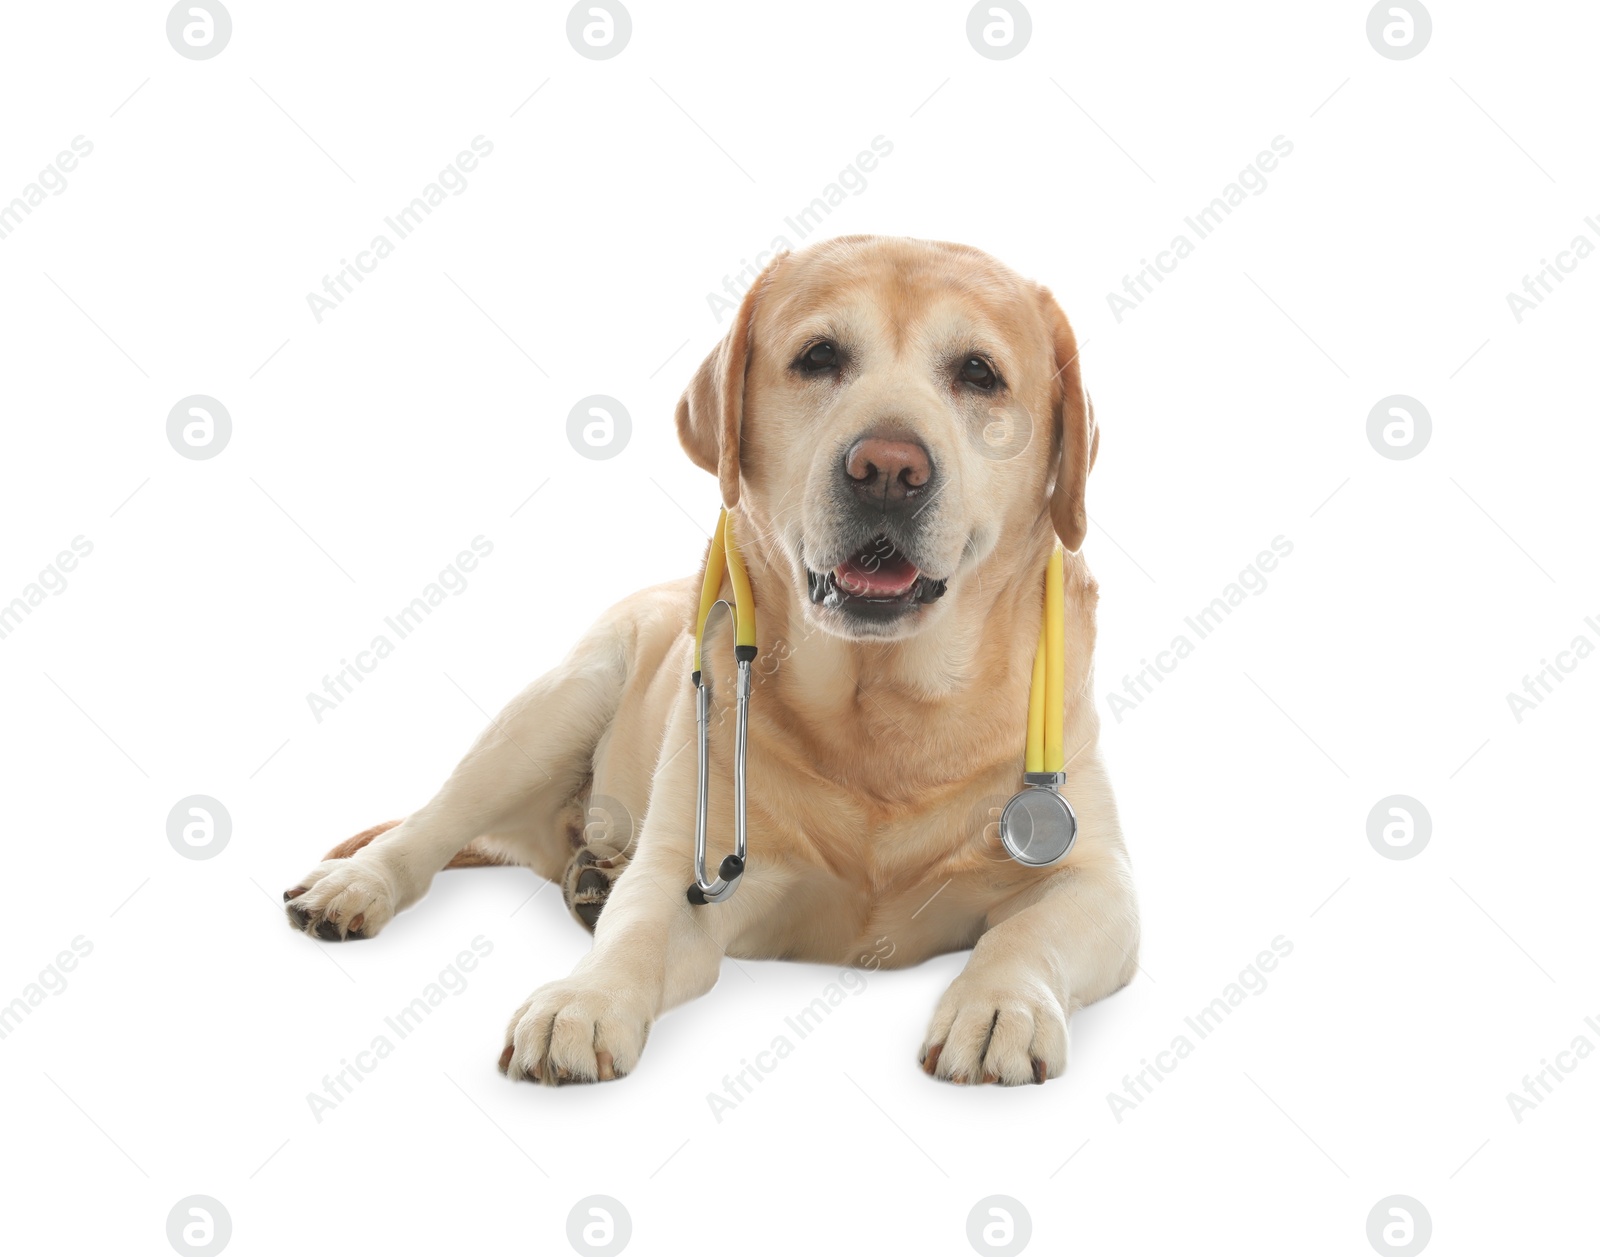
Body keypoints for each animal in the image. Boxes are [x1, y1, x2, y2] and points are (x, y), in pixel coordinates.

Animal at [284, 239, 1139, 1081]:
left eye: (978, 373)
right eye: (819, 356)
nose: (888, 469)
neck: (881, 708)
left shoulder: (1098, 884)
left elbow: (1024, 933)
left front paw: (998, 1005)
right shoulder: (685, 877)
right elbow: (635, 929)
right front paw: (583, 1000)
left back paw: (587, 874)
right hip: (556, 706)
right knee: (432, 822)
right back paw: (360, 884)